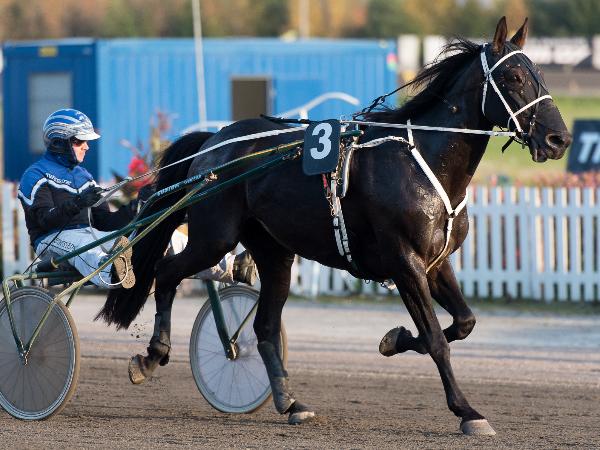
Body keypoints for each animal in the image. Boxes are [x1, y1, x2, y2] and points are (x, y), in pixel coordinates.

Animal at [97, 17, 571, 435]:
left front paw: (395, 338)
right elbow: (436, 337)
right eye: (513, 76)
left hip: (274, 252)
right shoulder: (405, 262)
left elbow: (464, 322)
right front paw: (467, 411)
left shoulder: (435, 263)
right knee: (166, 273)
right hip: (215, 237)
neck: (423, 161)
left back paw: (291, 403)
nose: (559, 139)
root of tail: (214, 141)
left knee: (264, 329)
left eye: (540, 74)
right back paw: (151, 356)